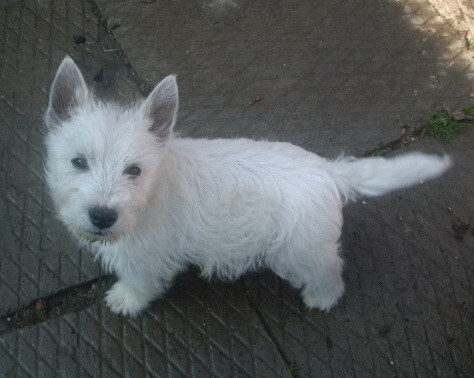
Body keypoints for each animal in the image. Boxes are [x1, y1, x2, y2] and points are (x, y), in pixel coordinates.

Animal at [44, 56, 452, 316]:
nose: (102, 216)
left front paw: (125, 300)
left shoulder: (145, 258)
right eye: (78, 162)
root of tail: (328, 171)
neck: (153, 191)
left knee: (330, 271)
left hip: (299, 251)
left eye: (134, 170)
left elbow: (139, 282)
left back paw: (322, 299)